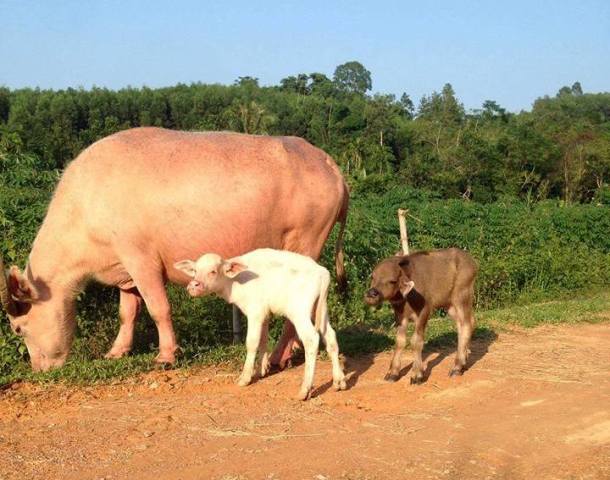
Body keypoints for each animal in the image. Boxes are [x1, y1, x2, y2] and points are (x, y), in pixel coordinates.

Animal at [0, 127, 346, 372]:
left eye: (18, 329)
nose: (39, 369)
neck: (86, 207)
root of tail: (330, 165)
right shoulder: (124, 270)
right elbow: (127, 312)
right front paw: (117, 351)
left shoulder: (142, 260)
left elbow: (158, 309)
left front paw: (166, 356)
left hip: (305, 243)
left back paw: (277, 356)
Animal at [175, 249, 346, 400]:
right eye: (195, 270)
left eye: (213, 271)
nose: (193, 285)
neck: (234, 281)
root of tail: (322, 272)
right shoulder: (264, 313)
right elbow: (263, 339)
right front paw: (261, 370)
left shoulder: (255, 311)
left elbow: (252, 342)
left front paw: (245, 377)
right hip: (320, 308)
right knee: (331, 337)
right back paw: (339, 382)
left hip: (300, 311)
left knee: (311, 339)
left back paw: (305, 390)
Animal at [364, 249, 478, 384]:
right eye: (373, 277)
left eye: (392, 281)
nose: (371, 293)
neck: (407, 298)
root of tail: (471, 262)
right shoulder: (400, 316)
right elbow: (400, 341)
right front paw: (393, 373)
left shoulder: (424, 311)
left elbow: (416, 341)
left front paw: (417, 374)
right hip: (449, 305)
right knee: (464, 324)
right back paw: (463, 360)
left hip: (461, 297)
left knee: (466, 324)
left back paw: (457, 367)